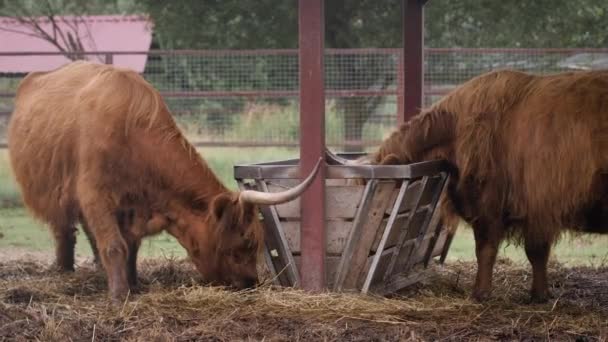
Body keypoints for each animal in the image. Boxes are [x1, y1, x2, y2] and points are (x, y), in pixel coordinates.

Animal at [7, 61, 320, 302]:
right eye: (242, 243)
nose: (249, 284)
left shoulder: (131, 204)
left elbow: (130, 245)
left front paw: (133, 283)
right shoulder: (95, 194)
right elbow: (115, 245)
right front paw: (119, 295)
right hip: (52, 188)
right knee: (64, 230)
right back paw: (64, 270)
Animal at [366, 69, 608, 302]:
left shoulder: (488, 204)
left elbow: (486, 249)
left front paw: (480, 293)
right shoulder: (536, 210)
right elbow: (537, 253)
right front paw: (539, 295)